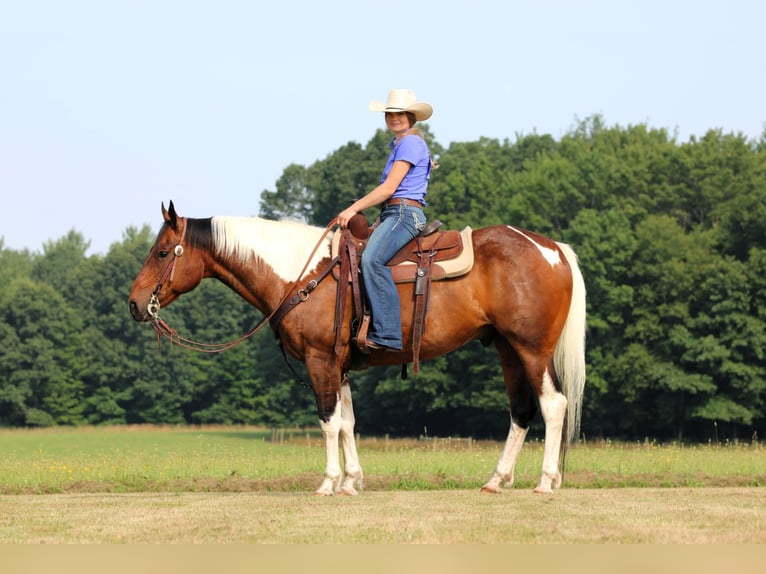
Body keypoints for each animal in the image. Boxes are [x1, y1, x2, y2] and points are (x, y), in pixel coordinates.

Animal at [128, 201, 586, 496]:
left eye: (163, 252)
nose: (134, 303)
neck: (301, 275)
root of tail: (554, 250)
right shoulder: (340, 365)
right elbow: (348, 422)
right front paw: (352, 481)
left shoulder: (320, 360)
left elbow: (329, 422)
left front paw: (329, 483)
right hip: (508, 349)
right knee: (521, 411)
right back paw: (496, 480)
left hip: (532, 350)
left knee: (553, 405)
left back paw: (546, 481)